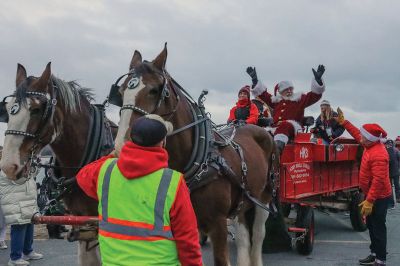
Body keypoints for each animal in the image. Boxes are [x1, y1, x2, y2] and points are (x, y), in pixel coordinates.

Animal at [112, 44, 276, 264]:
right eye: (121, 92)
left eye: (154, 90)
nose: (122, 145)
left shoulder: (218, 224)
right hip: (243, 199)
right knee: (243, 237)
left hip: (264, 196)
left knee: (258, 235)